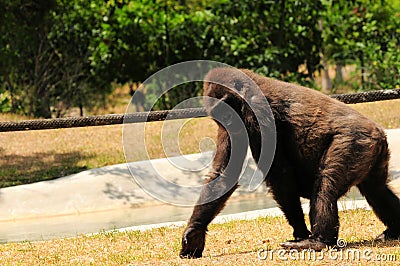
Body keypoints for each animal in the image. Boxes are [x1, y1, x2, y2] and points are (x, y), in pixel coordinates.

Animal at [179, 67, 400, 258]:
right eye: (219, 116)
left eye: (224, 110)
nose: (227, 121)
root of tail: (379, 132)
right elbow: (225, 172)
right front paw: (195, 231)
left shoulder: (256, 111)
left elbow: (279, 174)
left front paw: (301, 232)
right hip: (372, 152)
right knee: (377, 190)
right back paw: (393, 229)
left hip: (355, 142)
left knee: (327, 186)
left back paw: (318, 241)